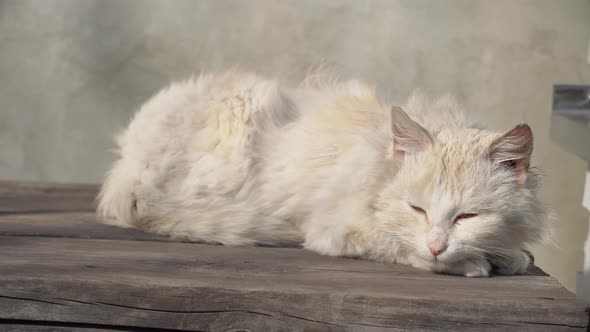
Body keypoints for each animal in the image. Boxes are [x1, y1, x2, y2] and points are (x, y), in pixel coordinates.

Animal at [98, 69, 556, 278]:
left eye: (467, 216)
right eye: (417, 209)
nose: (437, 245)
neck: (376, 161)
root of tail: (127, 162)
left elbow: (510, 252)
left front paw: (506, 255)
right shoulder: (335, 229)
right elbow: (399, 246)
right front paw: (473, 263)